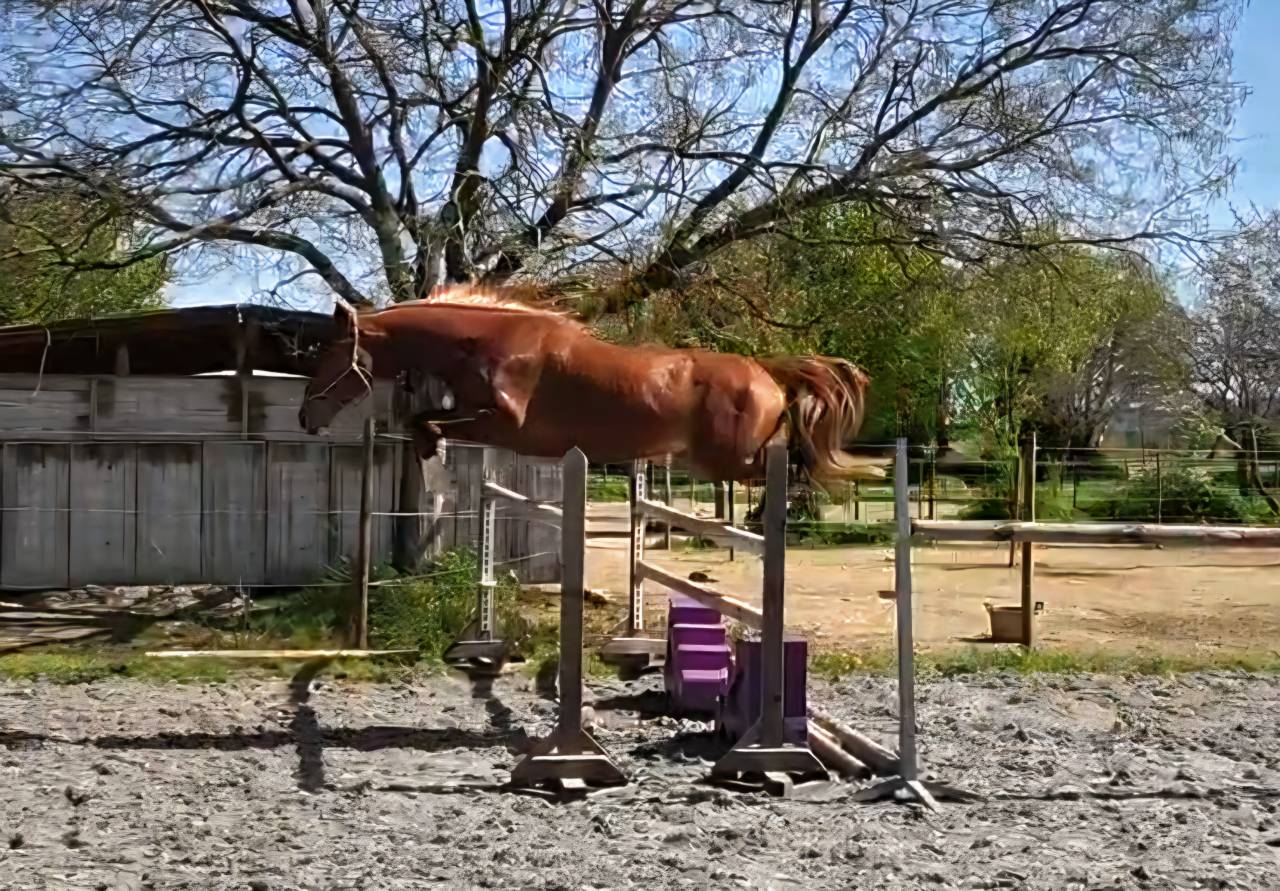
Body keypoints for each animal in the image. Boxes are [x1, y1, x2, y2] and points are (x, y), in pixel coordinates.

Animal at [297, 286, 882, 483]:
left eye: (330, 355)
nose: (306, 417)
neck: (486, 341)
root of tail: (766, 373)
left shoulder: (503, 423)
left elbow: (426, 417)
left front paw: (429, 444)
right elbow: (422, 417)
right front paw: (428, 448)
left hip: (725, 459)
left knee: (791, 465)